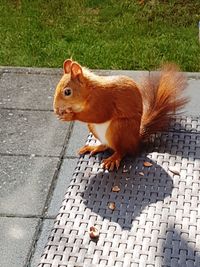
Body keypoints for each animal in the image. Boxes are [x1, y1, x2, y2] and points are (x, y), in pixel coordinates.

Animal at [53, 59, 188, 171]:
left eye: (67, 92)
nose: (55, 109)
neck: (90, 91)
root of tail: (136, 142)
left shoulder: (103, 101)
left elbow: (98, 115)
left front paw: (70, 116)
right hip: (94, 128)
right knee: (107, 145)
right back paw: (95, 147)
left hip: (119, 128)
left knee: (122, 151)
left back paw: (114, 158)